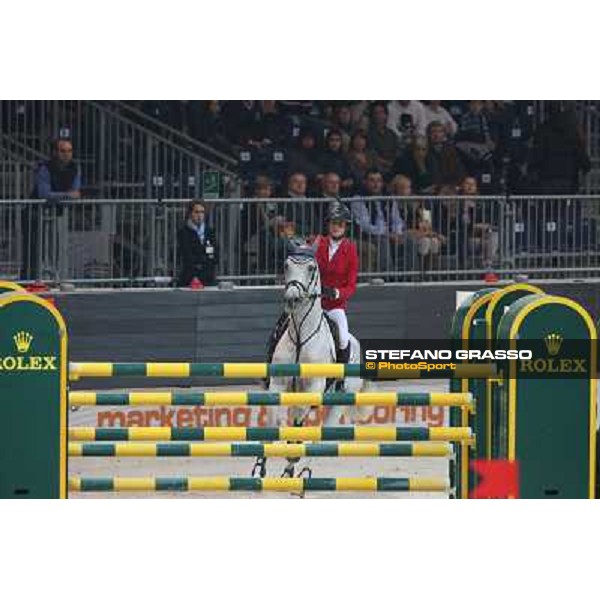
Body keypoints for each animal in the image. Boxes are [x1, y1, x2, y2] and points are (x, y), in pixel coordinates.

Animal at [251, 244, 364, 480]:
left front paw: (292, 456)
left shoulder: (313, 387)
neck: (301, 335)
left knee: (320, 434)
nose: (292, 298)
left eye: (311, 268)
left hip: (338, 401)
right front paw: (260, 466)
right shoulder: (278, 384)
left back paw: (300, 468)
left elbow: (299, 426)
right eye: (286, 265)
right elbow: (273, 421)